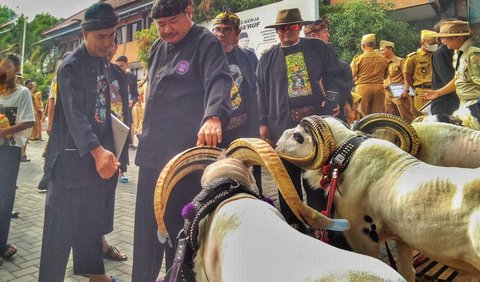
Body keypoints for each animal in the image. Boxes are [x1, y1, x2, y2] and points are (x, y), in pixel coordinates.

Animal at [276, 115, 480, 280]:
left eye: (298, 136)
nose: (277, 143)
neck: (346, 158)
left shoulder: (362, 237)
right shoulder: (403, 239)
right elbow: (407, 271)